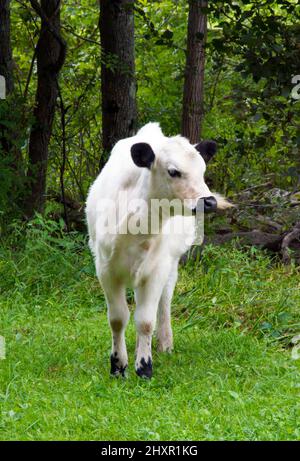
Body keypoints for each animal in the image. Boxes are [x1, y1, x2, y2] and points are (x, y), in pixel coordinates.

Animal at [85, 122, 231, 378]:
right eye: (173, 171)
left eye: (202, 171)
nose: (209, 201)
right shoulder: (105, 270)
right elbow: (117, 319)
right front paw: (118, 365)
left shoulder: (156, 270)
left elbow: (145, 321)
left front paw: (144, 366)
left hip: (171, 264)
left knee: (164, 302)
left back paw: (164, 342)